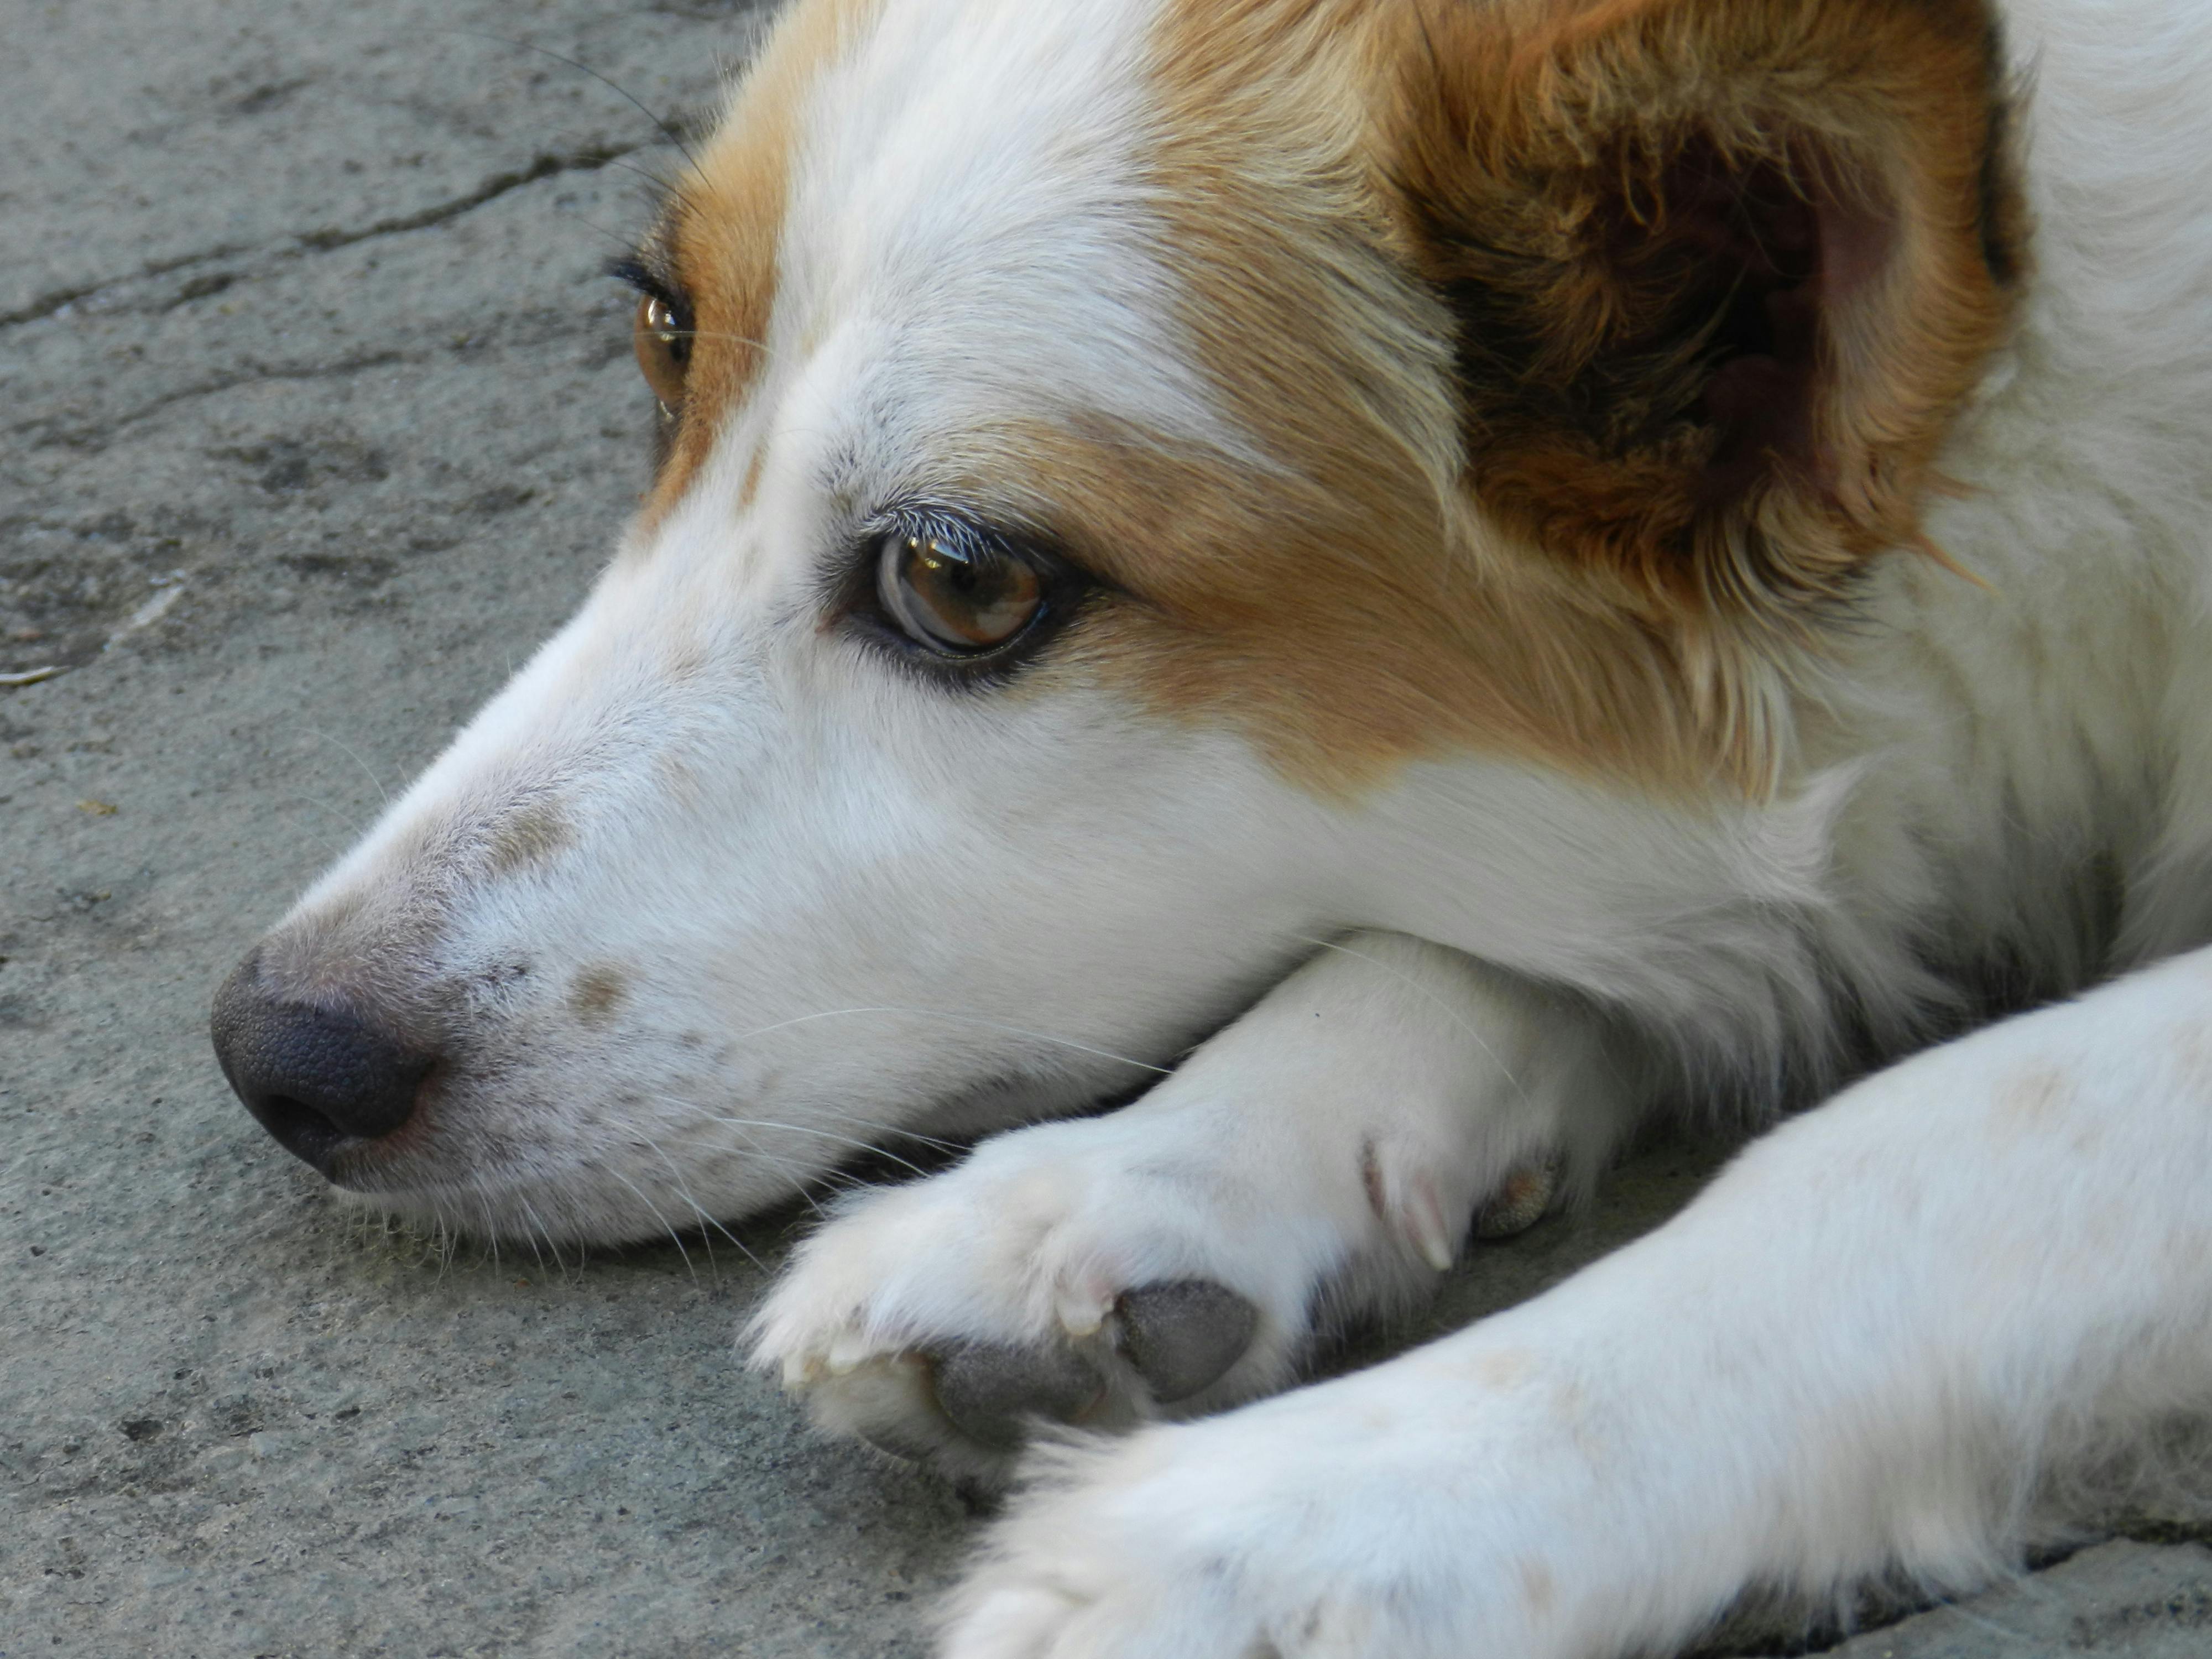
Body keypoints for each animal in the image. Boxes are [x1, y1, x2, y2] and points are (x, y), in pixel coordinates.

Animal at [211, 0, 2212, 1655]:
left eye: (960, 581)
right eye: (659, 330)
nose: (280, 1051)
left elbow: (1940, 1140)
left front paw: (1315, 1521)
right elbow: (1488, 940)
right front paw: (1133, 1187)